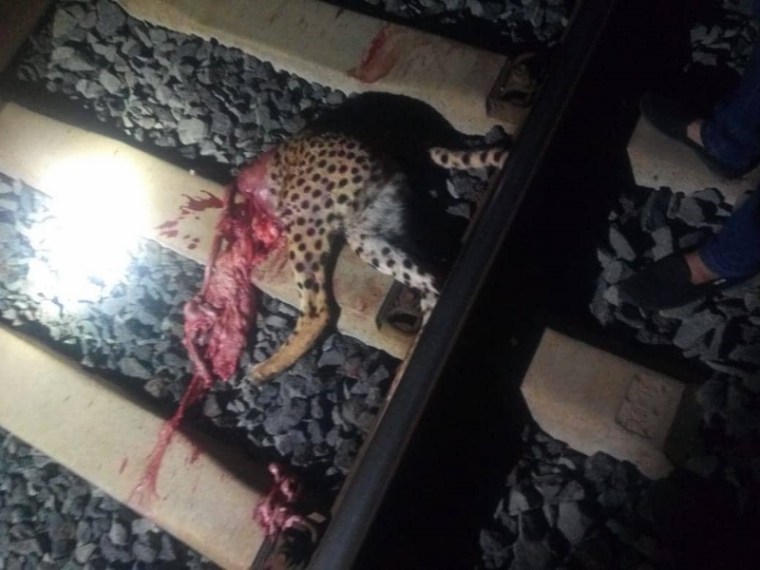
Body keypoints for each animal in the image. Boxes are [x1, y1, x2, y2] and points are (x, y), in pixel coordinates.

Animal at [233, 130, 507, 383]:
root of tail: (381, 150)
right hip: (369, 235)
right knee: (429, 282)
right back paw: (408, 364)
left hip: (306, 219)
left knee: (318, 310)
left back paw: (267, 368)